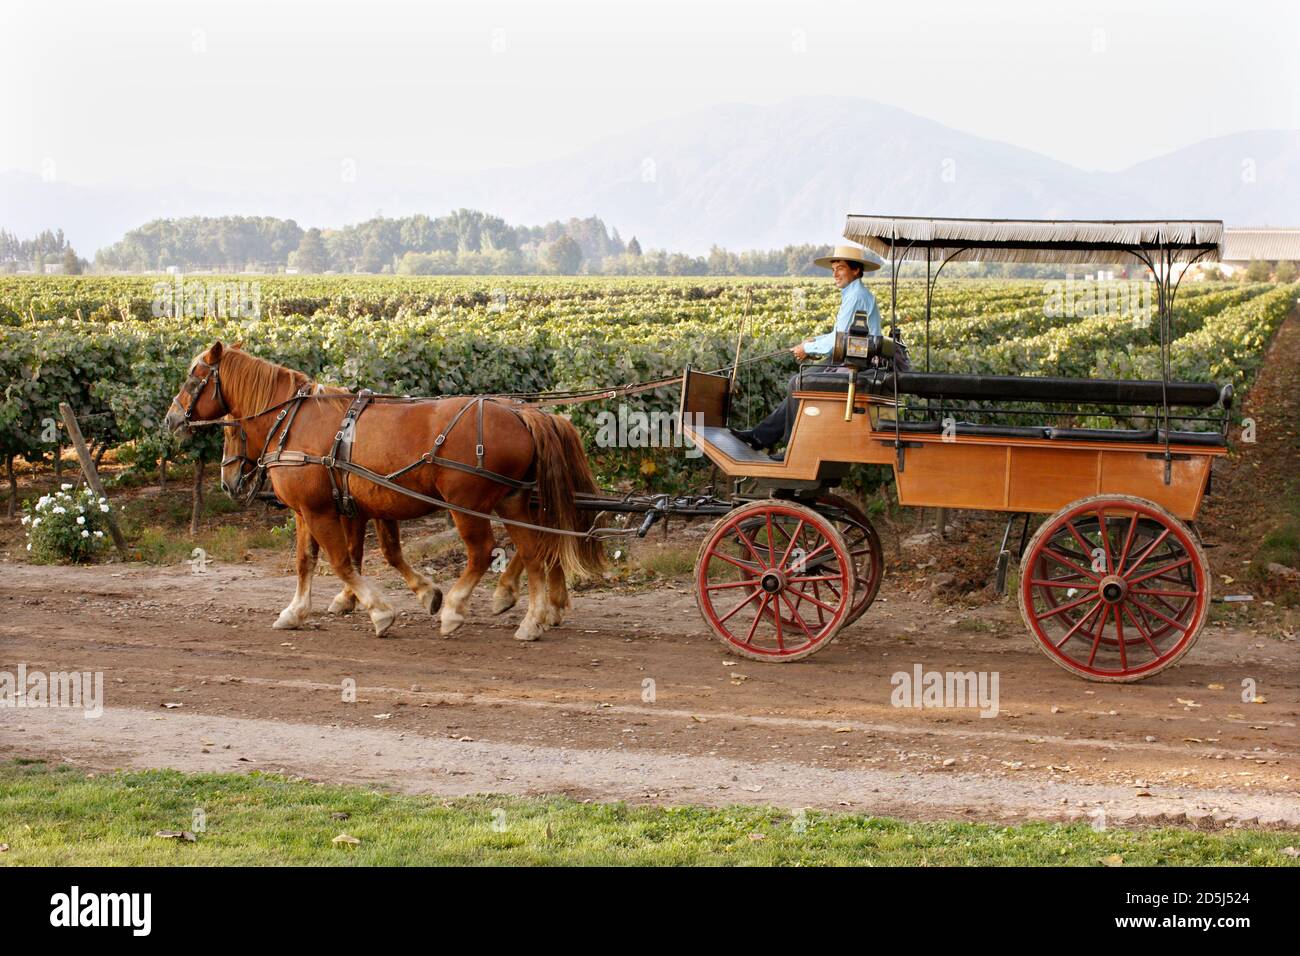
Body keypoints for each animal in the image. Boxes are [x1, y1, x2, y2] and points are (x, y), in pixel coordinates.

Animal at [166, 343, 603, 642]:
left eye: (193, 378)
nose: (171, 419)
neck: (293, 423)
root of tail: (521, 413)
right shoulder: (321, 509)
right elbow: (313, 560)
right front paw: (297, 611)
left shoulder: (323, 510)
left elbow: (343, 560)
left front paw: (380, 611)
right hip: (512, 500)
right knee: (533, 548)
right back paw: (533, 618)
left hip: (467, 504)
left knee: (484, 551)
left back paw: (458, 610)